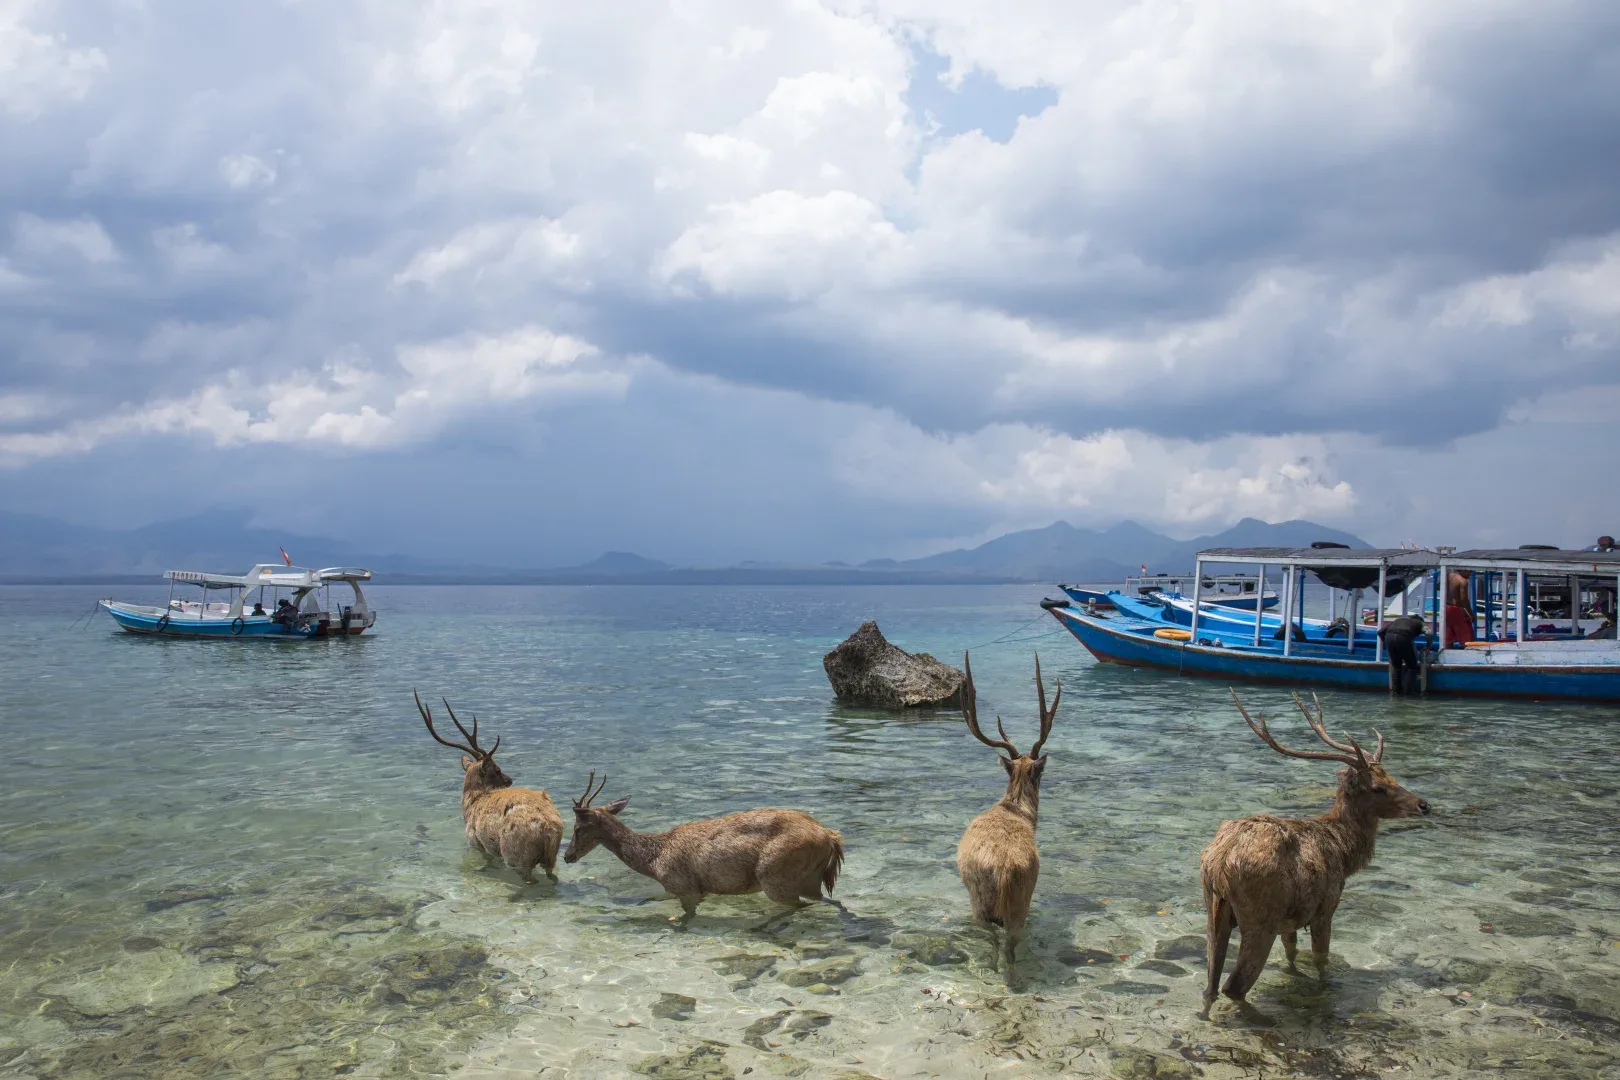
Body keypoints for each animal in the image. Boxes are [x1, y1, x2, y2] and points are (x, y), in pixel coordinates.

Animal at [414, 693, 567, 887]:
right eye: (498, 769)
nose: (509, 780)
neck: (471, 803)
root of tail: (549, 827)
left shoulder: (476, 841)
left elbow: (488, 860)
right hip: (551, 855)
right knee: (552, 874)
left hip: (516, 854)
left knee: (528, 878)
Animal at [563, 767, 848, 932]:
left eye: (578, 828)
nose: (567, 856)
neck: (653, 860)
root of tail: (831, 837)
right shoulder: (692, 889)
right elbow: (649, 899)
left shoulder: (685, 886)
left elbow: (683, 920)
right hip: (809, 878)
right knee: (831, 900)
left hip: (776, 875)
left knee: (800, 904)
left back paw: (759, 926)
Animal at [1205, 689, 1432, 1010]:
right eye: (1377, 787)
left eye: (1393, 777)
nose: (1424, 804)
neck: (1345, 853)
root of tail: (1220, 863)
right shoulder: (1326, 906)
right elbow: (1320, 959)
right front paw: (1326, 987)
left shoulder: (1290, 921)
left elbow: (1291, 953)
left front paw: (1293, 974)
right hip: (1260, 916)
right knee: (1233, 985)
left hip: (1213, 910)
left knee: (1210, 985)